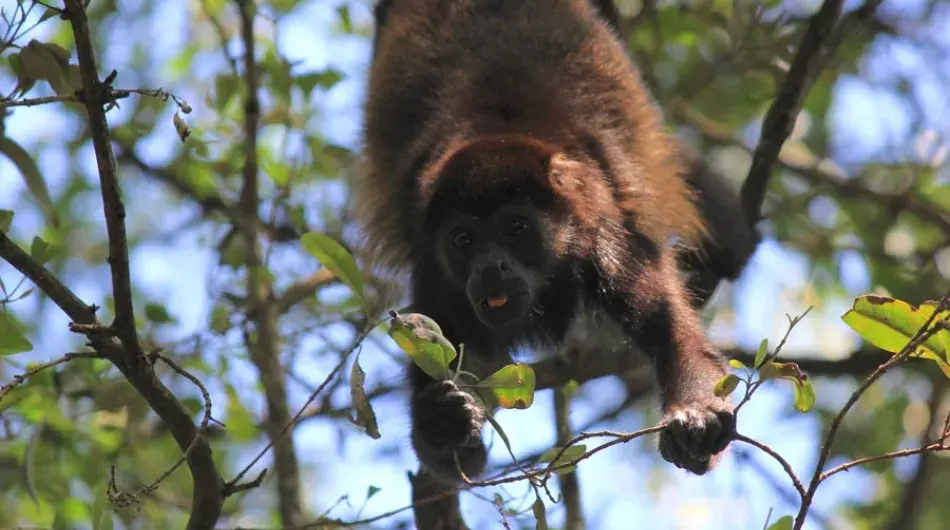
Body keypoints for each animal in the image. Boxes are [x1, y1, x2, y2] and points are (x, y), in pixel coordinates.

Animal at [354, 0, 756, 484]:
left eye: (517, 229)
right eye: (463, 239)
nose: (490, 266)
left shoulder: (605, 229)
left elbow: (670, 328)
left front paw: (698, 412)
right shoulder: (434, 268)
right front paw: (445, 426)